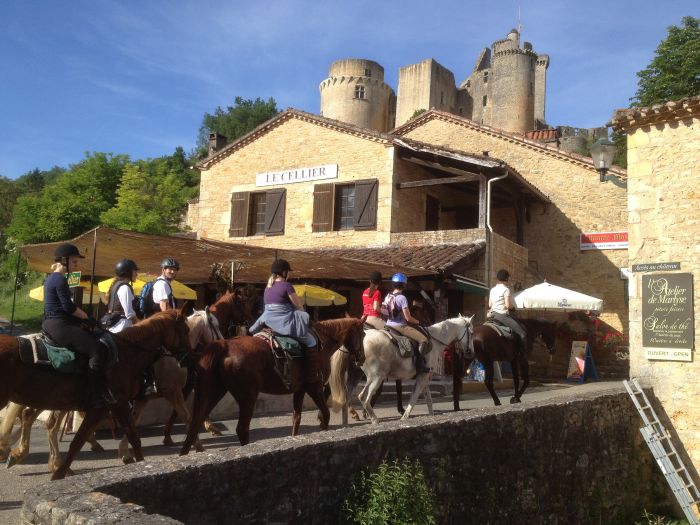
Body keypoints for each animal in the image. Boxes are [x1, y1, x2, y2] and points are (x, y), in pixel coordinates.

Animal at [179, 316, 366, 454]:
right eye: (363, 334)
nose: (362, 358)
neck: (323, 343)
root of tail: (225, 345)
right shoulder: (315, 387)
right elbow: (325, 414)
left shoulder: (299, 390)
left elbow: (296, 419)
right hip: (247, 397)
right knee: (242, 429)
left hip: (214, 392)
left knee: (196, 423)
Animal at [330, 314, 476, 424]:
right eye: (472, 333)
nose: (471, 352)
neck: (435, 340)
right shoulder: (423, 376)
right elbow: (414, 396)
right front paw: (405, 416)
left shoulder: (425, 376)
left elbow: (428, 398)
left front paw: (431, 414)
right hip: (376, 377)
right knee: (364, 397)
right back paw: (374, 420)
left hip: (356, 376)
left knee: (346, 400)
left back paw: (347, 424)